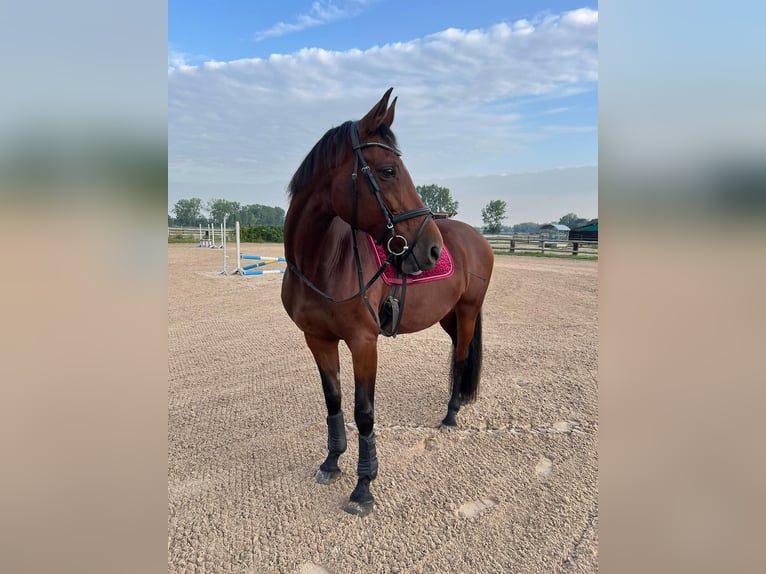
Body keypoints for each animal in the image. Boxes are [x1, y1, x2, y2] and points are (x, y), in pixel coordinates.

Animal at [281, 88, 494, 516]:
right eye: (388, 171)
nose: (431, 249)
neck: (322, 261)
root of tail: (475, 237)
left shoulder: (364, 342)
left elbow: (363, 413)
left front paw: (363, 487)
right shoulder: (318, 339)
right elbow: (333, 401)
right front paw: (332, 462)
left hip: (467, 311)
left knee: (462, 356)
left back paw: (451, 415)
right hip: (447, 315)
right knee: (457, 355)